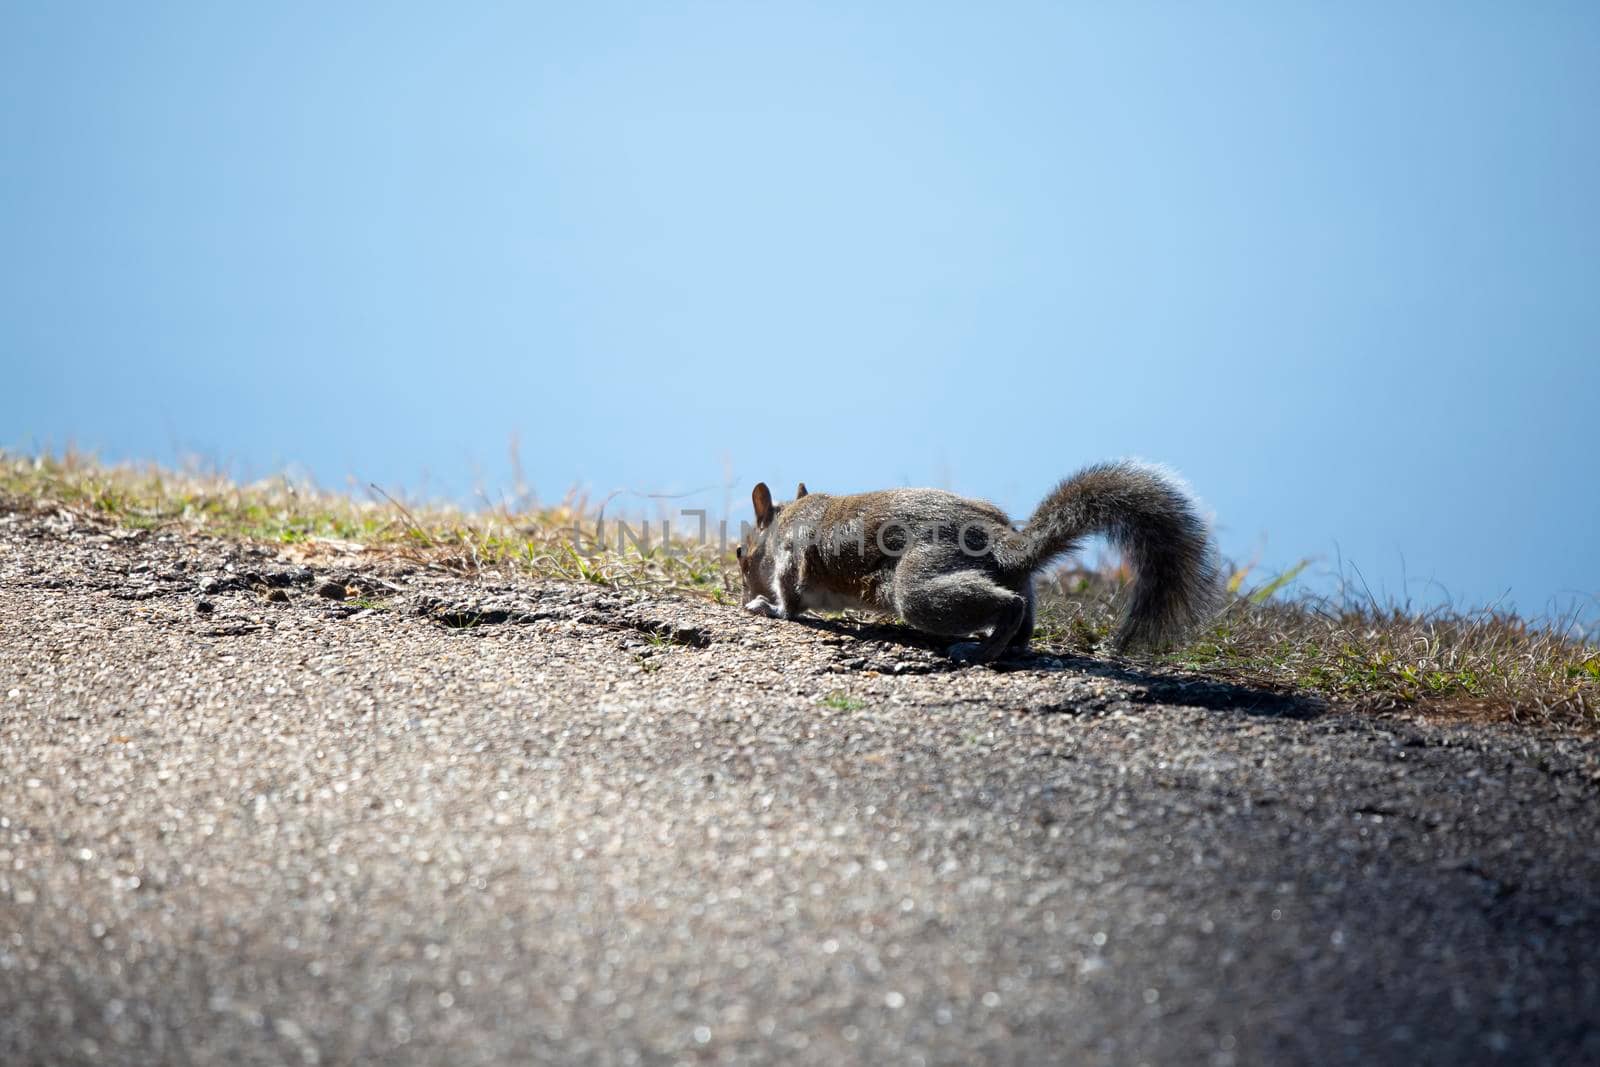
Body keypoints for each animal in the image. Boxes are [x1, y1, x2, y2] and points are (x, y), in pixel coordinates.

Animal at [732, 460, 1209, 662]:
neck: (785, 521)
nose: (741, 595)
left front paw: (767, 607)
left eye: (740, 554)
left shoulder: (792, 558)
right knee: (1023, 618)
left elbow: (791, 599)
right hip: (1014, 581)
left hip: (919, 580)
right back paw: (1000, 641)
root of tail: (1002, 542)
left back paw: (978, 650)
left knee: (1007, 607)